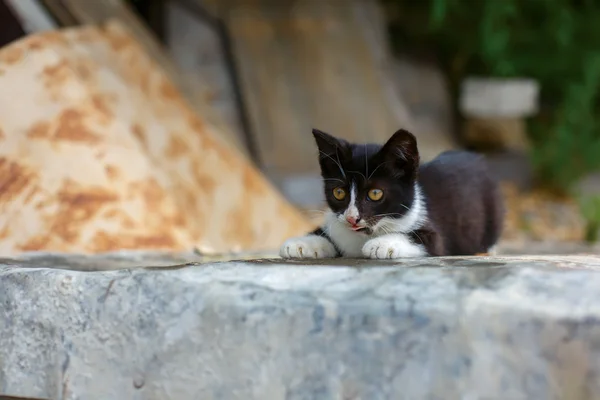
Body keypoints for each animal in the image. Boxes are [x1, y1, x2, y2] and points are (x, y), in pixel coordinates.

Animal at [278, 128, 504, 260]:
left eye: (375, 193)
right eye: (339, 192)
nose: (352, 218)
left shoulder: (435, 236)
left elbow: (419, 238)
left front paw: (383, 244)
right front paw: (301, 243)